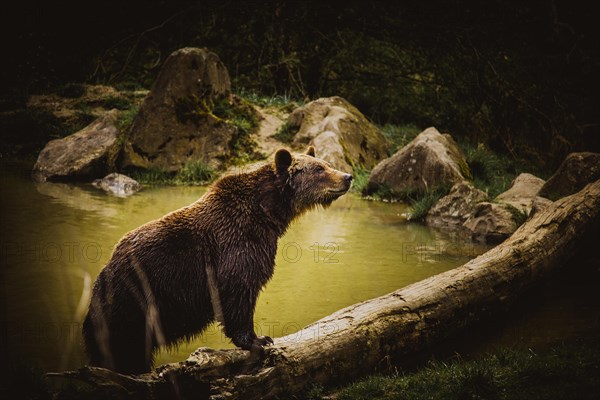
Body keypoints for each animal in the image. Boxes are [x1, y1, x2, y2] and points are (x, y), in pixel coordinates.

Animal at [80, 148, 352, 376]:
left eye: (327, 164)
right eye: (319, 169)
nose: (347, 176)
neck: (268, 213)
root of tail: (101, 278)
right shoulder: (236, 243)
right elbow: (239, 289)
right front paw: (258, 339)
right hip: (133, 301)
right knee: (125, 348)